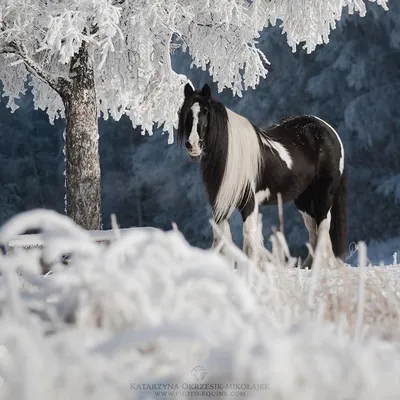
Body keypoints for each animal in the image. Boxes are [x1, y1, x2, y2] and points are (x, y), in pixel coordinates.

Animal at [177, 83, 346, 268]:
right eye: (185, 112)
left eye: (205, 112)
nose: (193, 145)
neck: (230, 155)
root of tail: (328, 130)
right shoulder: (220, 203)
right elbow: (222, 238)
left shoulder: (249, 203)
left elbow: (249, 237)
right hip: (304, 199)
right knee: (312, 228)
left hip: (324, 194)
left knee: (323, 227)